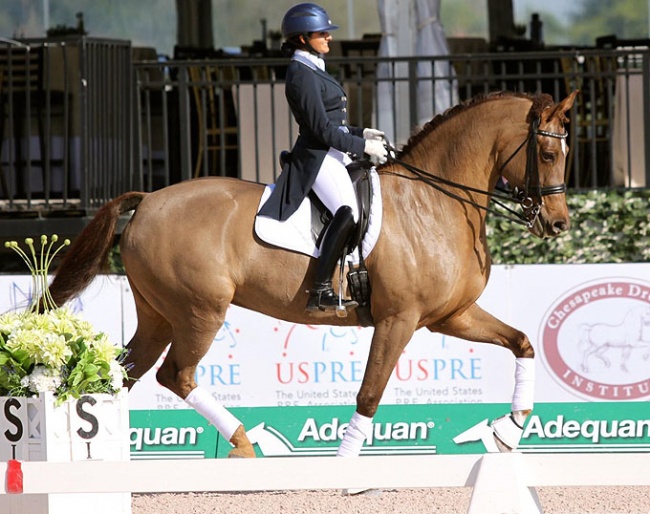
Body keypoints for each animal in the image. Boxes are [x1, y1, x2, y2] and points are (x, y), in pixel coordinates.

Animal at [46, 89, 576, 456]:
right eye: (548, 154)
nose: (557, 224)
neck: (434, 202)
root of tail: (150, 200)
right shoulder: (398, 320)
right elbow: (369, 394)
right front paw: (345, 468)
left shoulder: (452, 315)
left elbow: (522, 343)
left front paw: (510, 430)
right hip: (199, 311)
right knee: (176, 375)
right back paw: (242, 442)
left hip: (158, 315)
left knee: (121, 376)